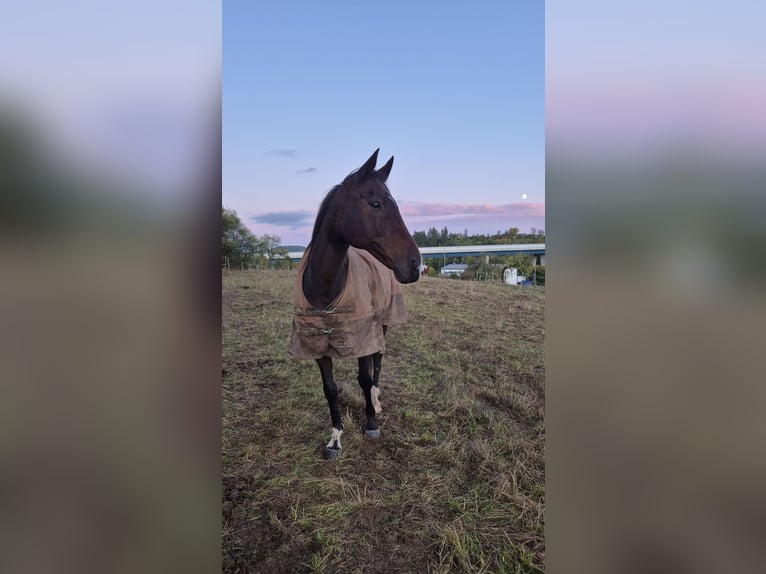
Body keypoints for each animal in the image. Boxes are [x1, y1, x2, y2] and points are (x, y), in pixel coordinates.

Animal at [288, 149, 421, 459]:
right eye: (375, 203)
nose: (415, 263)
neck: (326, 290)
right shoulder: (317, 344)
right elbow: (330, 388)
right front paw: (335, 438)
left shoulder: (363, 334)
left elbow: (363, 377)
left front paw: (371, 422)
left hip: (382, 323)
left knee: (378, 362)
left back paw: (375, 399)